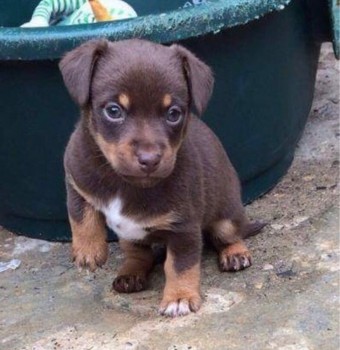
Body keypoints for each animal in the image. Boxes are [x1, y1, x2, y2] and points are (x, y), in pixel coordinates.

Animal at [59, 38, 264, 318]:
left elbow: (179, 266)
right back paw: (130, 273)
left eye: (173, 113)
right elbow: (81, 215)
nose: (150, 159)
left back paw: (235, 254)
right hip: (130, 236)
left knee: (230, 234)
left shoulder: (183, 229)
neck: (127, 183)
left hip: (227, 216)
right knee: (139, 255)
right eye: (113, 110)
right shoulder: (77, 180)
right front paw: (88, 251)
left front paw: (179, 297)